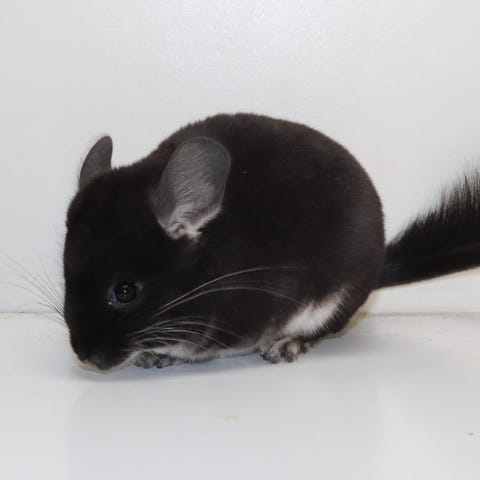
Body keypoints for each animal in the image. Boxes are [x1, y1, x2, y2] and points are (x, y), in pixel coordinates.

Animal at [63, 113, 480, 371]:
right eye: (66, 277)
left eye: (125, 292)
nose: (85, 357)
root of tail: (379, 264)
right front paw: (151, 356)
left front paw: (161, 354)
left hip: (337, 297)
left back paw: (286, 345)